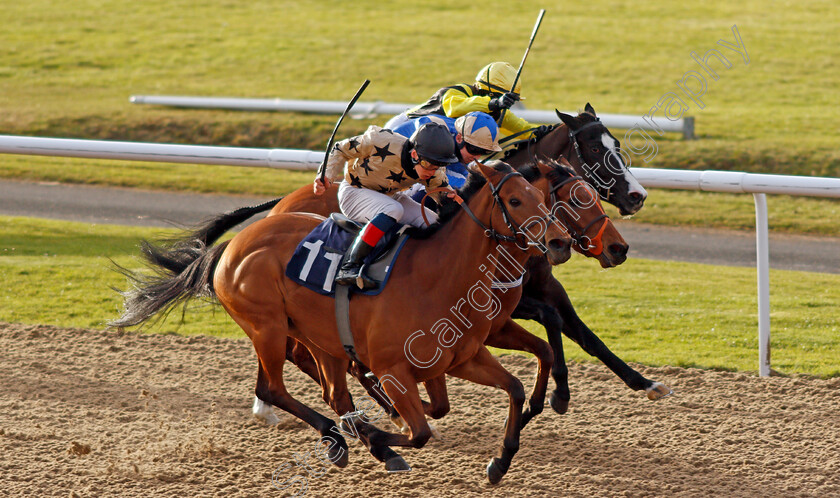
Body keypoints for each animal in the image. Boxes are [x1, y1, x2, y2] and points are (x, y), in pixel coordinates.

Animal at [111, 160, 572, 482]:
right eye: (515, 201)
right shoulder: (393, 369)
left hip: (319, 338)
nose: (559, 242)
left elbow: (512, 387)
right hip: (267, 327)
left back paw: (359, 437)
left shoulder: (462, 357)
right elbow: (420, 431)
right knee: (276, 389)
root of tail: (233, 245)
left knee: (331, 392)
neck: (439, 274)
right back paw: (344, 439)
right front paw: (383, 433)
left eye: (542, 199)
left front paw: (501, 460)